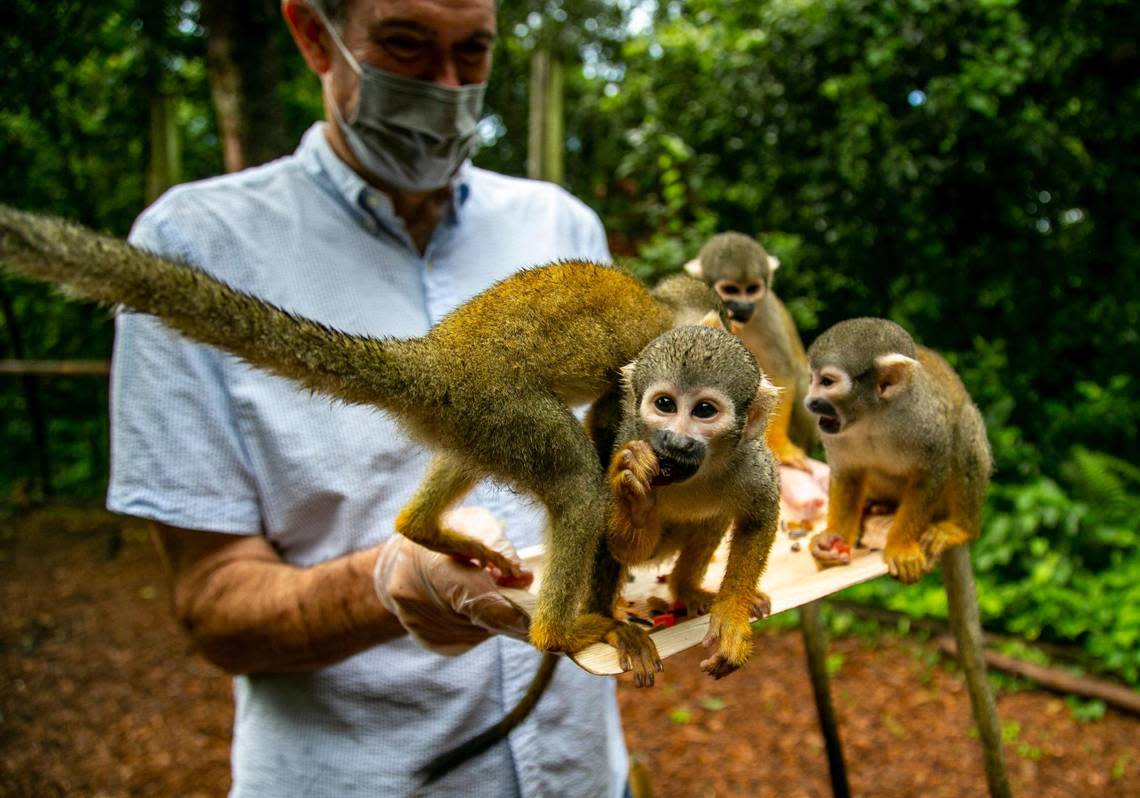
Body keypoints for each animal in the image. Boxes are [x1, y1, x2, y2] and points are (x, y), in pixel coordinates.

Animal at [601, 323, 779, 679]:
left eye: (704, 411)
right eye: (665, 404)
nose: (677, 440)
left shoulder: (748, 458)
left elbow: (760, 516)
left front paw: (732, 615)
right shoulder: (627, 444)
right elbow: (621, 548)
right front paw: (637, 506)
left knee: (715, 516)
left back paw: (686, 589)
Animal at [684, 230, 820, 469]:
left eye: (752, 290)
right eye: (731, 290)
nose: (743, 306)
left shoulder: (767, 313)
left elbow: (781, 375)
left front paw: (781, 447)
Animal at [802, 316, 989, 588]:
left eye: (827, 382)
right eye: (811, 379)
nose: (810, 402)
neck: (873, 416)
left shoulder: (925, 420)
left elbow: (929, 474)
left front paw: (901, 548)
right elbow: (847, 475)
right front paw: (830, 543)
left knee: (964, 425)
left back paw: (960, 529)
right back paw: (877, 507)